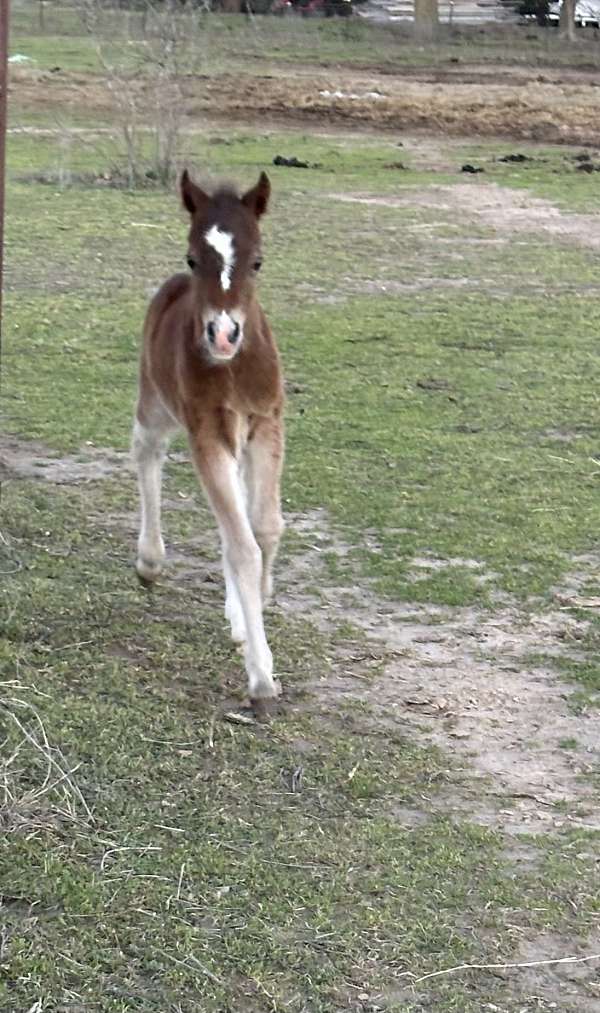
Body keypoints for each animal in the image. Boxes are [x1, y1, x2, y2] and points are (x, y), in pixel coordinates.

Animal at [134, 170, 283, 709]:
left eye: (257, 260)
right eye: (193, 258)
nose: (223, 334)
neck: (233, 369)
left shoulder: (265, 425)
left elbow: (264, 528)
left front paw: (257, 600)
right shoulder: (206, 435)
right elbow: (243, 546)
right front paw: (261, 677)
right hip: (155, 403)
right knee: (147, 452)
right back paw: (149, 561)